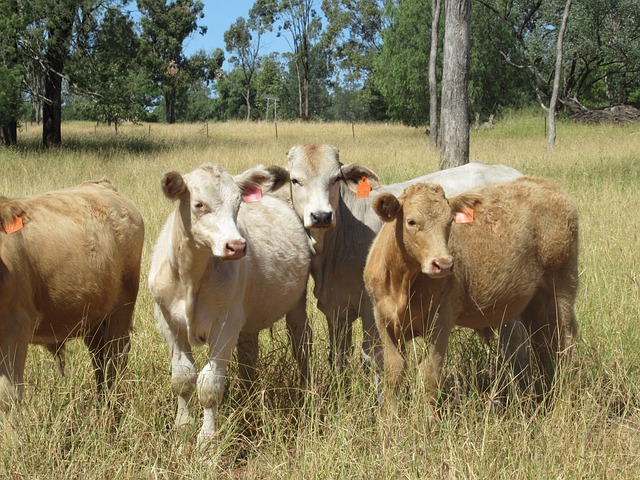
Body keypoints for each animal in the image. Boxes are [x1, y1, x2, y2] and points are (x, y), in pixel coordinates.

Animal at [0, 181, 144, 412]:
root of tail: (101, 184)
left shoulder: (16, 323)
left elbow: (7, 396)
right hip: (94, 316)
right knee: (99, 357)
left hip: (122, 305)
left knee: (116, 356)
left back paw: (113, 409)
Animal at [149, 163, 312, 440]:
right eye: (199, 204)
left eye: (238, 204)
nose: (236, 246)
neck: (189, 276)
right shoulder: (168, 322)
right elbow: (182, 378)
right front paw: (182, 425)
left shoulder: (224, 324)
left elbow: (209, 385)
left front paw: (207, 438)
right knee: (249, 354)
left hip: (297, 304)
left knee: (301, 342)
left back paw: (305, 390)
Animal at [270, 144, 524, 374]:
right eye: (295, 180)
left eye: (336, 178)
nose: (321, 216)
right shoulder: (336, 310)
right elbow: (339, 358)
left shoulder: (372, 309)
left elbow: (374, 358)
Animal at [364, 176, 580, 412]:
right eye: (411, 222)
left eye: (450, 221)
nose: (443, 264)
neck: (402, 282)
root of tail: (544, 184)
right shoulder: (383, 320)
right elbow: (394, 373)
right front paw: (390, 419)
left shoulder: (441, 319)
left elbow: (429, 375)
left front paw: (425, 421)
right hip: (536, 304)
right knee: (543, 344)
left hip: (561, 290)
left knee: (562, 344)